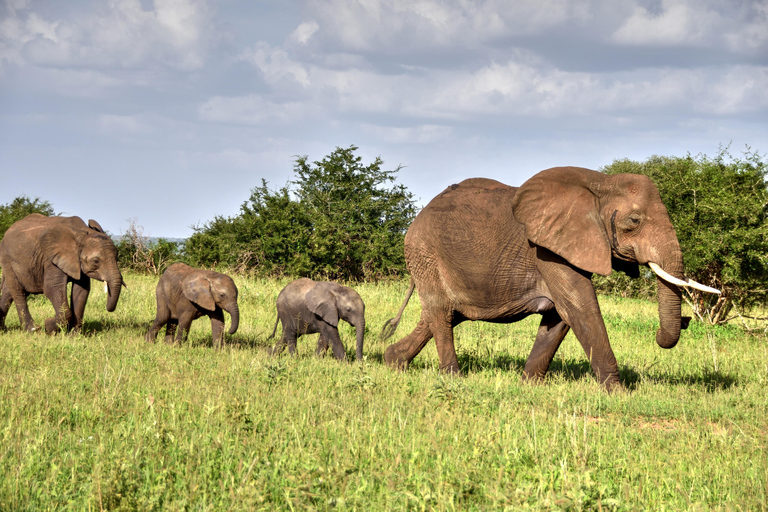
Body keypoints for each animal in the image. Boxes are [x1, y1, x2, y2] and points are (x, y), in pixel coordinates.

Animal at [384, 166, 720, 390]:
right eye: (634, 221)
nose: (687, 320)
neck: (600, 183)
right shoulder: (547, 251)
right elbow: (580, 308)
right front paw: (619, 393)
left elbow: (559, 316)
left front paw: (527, 386)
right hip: (425, 252)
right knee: (441, 313)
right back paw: (452, 378)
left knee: (445, 314)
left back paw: (393, 362)